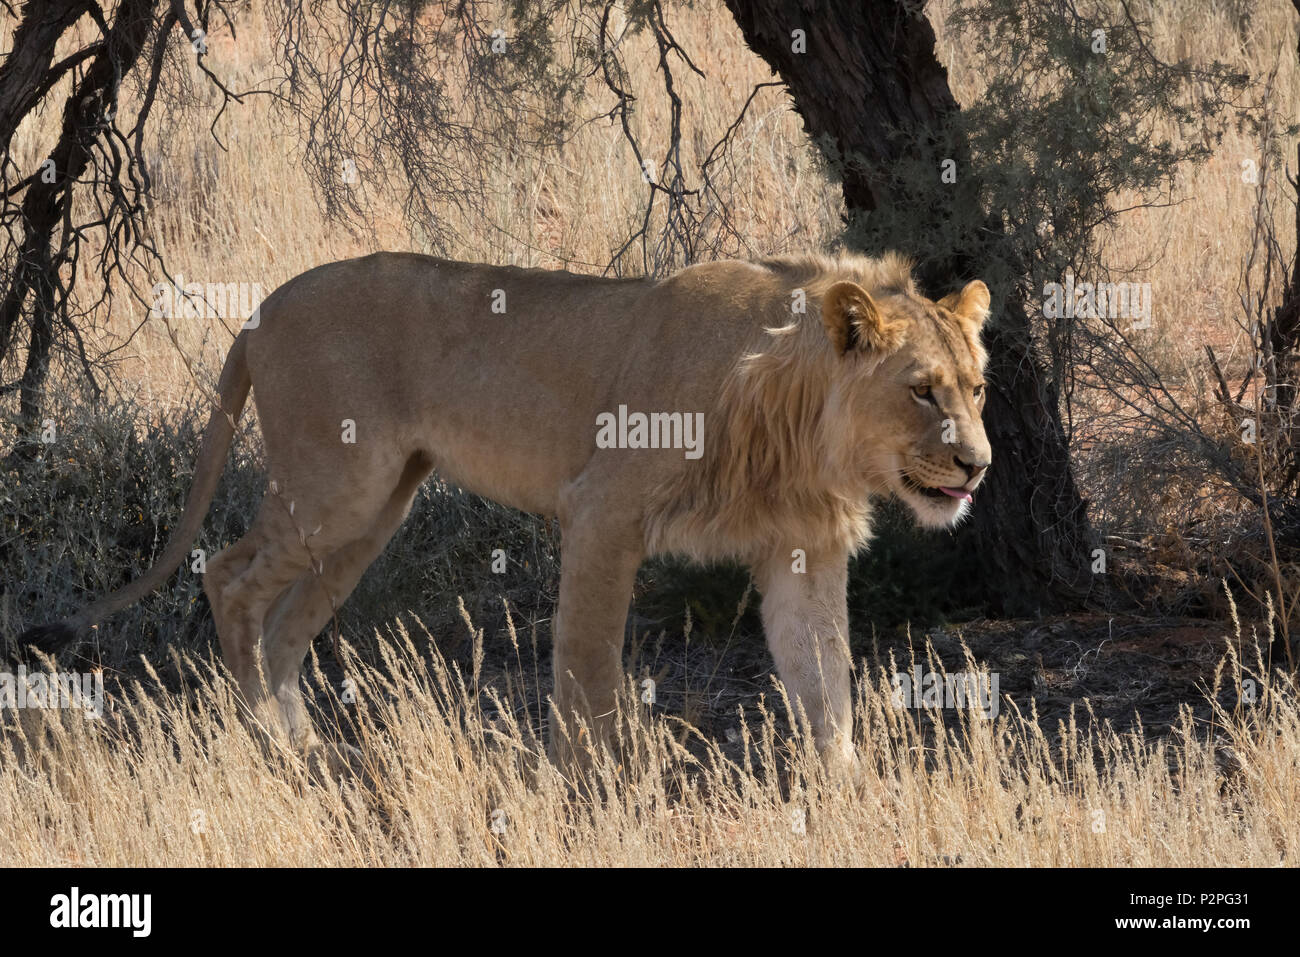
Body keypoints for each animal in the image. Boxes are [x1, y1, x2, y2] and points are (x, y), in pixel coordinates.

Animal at [20, 252, 987, 769]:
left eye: (976, 388)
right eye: (920, 390)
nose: (978, 466)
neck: (800, 418)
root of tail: (260, 310)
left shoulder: (801, 549)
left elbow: (825, 679)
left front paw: (845, 791)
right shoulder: (602, 509)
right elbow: (588, 663)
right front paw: (597, 781)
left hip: (376, 507)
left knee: (288, 619)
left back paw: (306, 745)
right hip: (336, 484)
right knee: (229, 578)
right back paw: (269, 737)